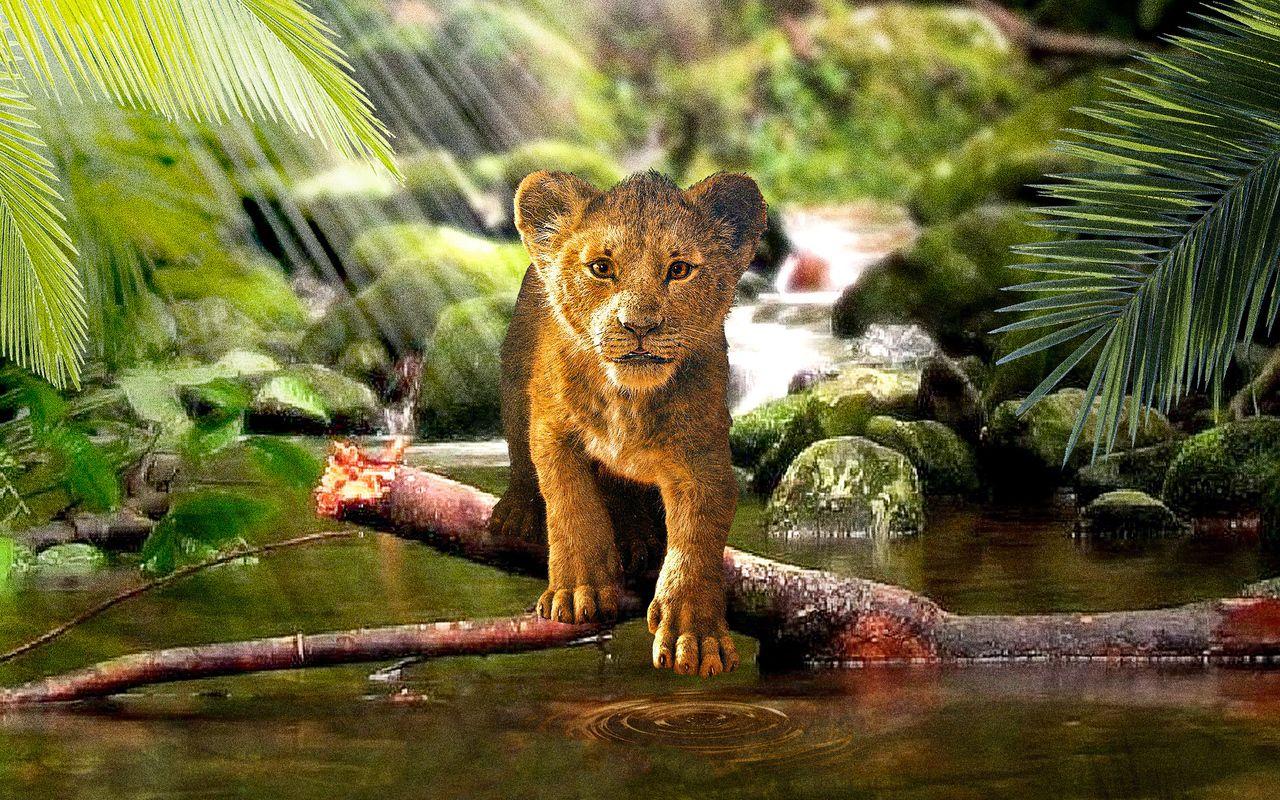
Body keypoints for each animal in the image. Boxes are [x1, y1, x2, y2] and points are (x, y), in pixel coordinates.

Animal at [488, 169, 767, 677]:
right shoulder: (552, 428)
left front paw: (694, 634)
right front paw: (578, 589)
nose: (639, 326)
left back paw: (642, 539)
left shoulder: (704, 456)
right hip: (515, 379)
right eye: (601, 267)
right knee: (520, 455)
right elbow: (571, 503)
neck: (628, 400)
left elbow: (697, 539)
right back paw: (518, 512)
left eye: (679, 269)